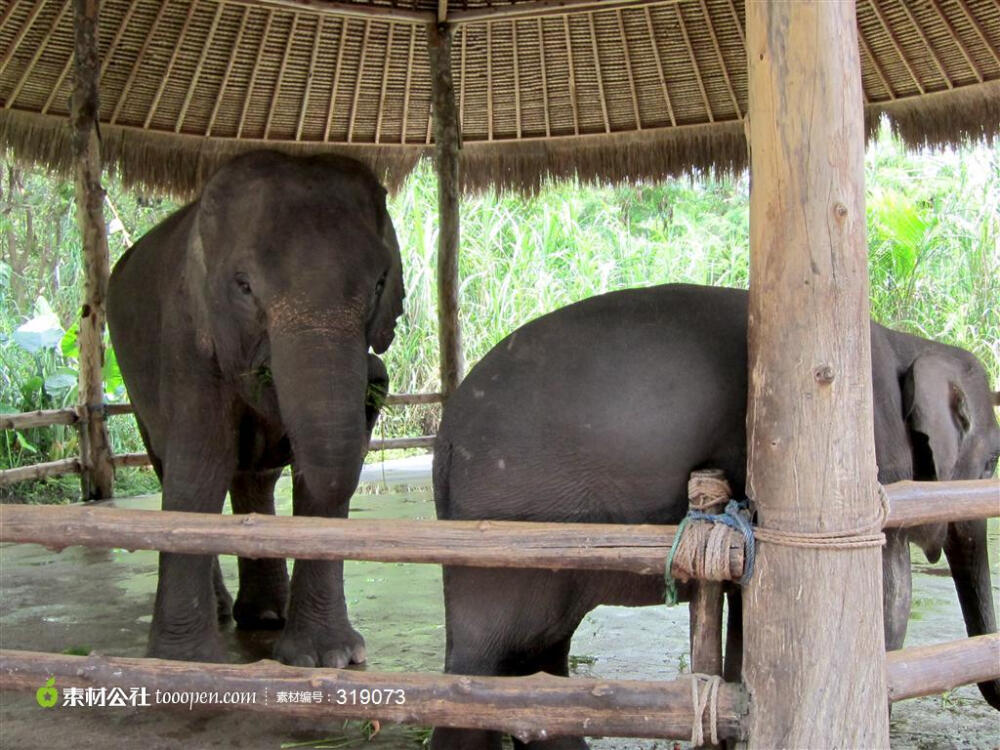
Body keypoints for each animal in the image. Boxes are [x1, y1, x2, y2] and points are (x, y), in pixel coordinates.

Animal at [107, 150, 404, 668]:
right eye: (244, 286)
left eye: (379, 284)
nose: (376, 373)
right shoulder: (186, 336)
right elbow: (200, 469)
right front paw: (183, 663)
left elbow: (316, 477)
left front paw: (330, 659)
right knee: (171, 466)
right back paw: (225, 613)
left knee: (254, 477)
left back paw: (265, 616)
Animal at [430, 284, 1000, 750]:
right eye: (993, 462)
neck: (906, 342)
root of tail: (445, 439)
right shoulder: (867, 460)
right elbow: (887, 597)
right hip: (503, 521)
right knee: (484, 661)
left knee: (538, 656)